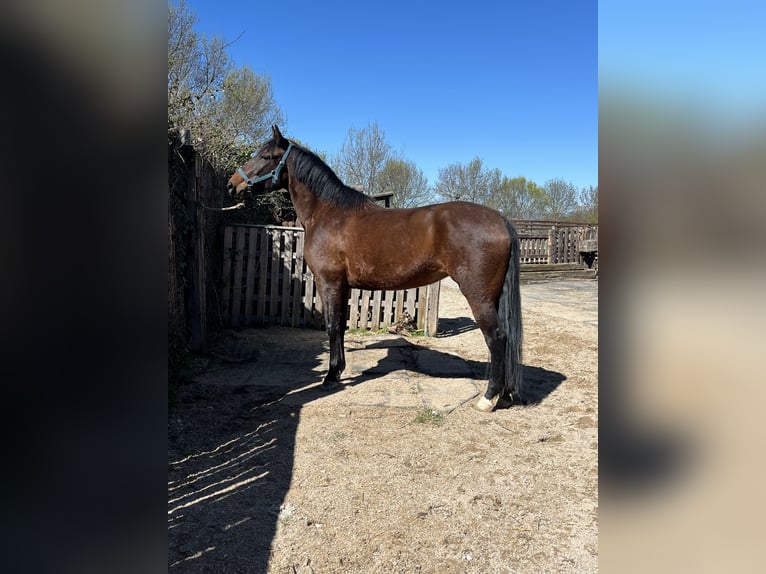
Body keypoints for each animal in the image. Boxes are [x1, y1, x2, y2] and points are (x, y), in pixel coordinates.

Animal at [227, 126, 522, 412]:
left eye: (266, 157)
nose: (232, 185)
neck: (328, 213)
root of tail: (501, 220)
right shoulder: (343, 286)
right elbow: (341, 325)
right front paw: (339, 369)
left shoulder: (328, 282)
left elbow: (332, 326)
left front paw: (330, 376)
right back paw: (505, 396)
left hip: (478, 295)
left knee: (497, 338)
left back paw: (488, 399)